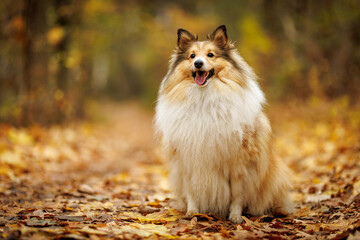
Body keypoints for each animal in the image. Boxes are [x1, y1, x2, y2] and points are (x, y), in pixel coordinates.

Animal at [154, 25, 292, 222]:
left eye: (211, 55)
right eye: (192, 56)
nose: (198, 63)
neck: (204, 98)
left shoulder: (238, 163)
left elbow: (237, 194)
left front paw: (235, 217)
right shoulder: (188, 159)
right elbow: (191, 190)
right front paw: (192, 212)